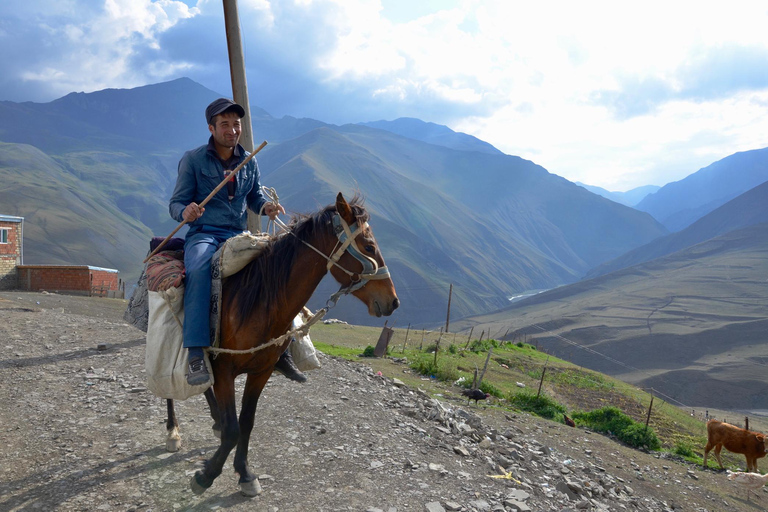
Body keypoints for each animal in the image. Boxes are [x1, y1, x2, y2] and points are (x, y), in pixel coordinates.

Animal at [164, 193, 400, 496]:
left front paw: (245, 473)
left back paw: (213, 421)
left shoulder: (261, 371)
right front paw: (207, 475)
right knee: (169, 389)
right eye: (369, 246)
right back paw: (173, 432)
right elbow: (233, 430)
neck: (258, 300)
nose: (393, 301)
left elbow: (246, 423)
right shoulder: (224, 368)